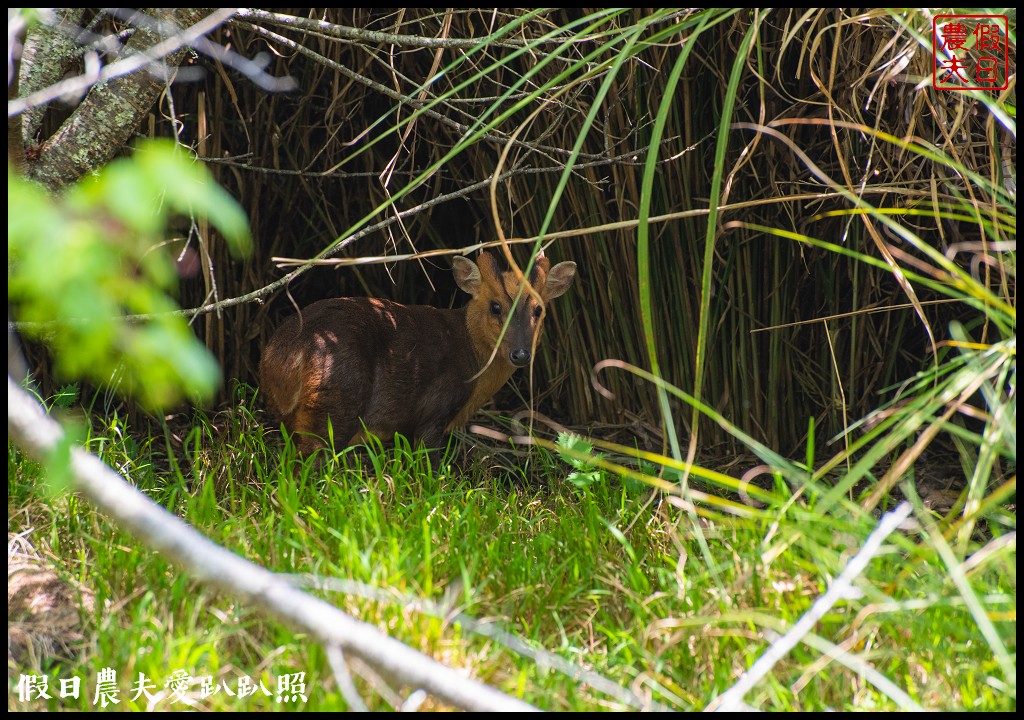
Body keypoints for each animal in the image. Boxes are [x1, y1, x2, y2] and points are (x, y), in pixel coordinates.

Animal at [258, 253, 577, 452]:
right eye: (495, 306)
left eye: (539, 309)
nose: (521, 354)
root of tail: (286, 355)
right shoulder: (433, 412)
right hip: (335, 397)